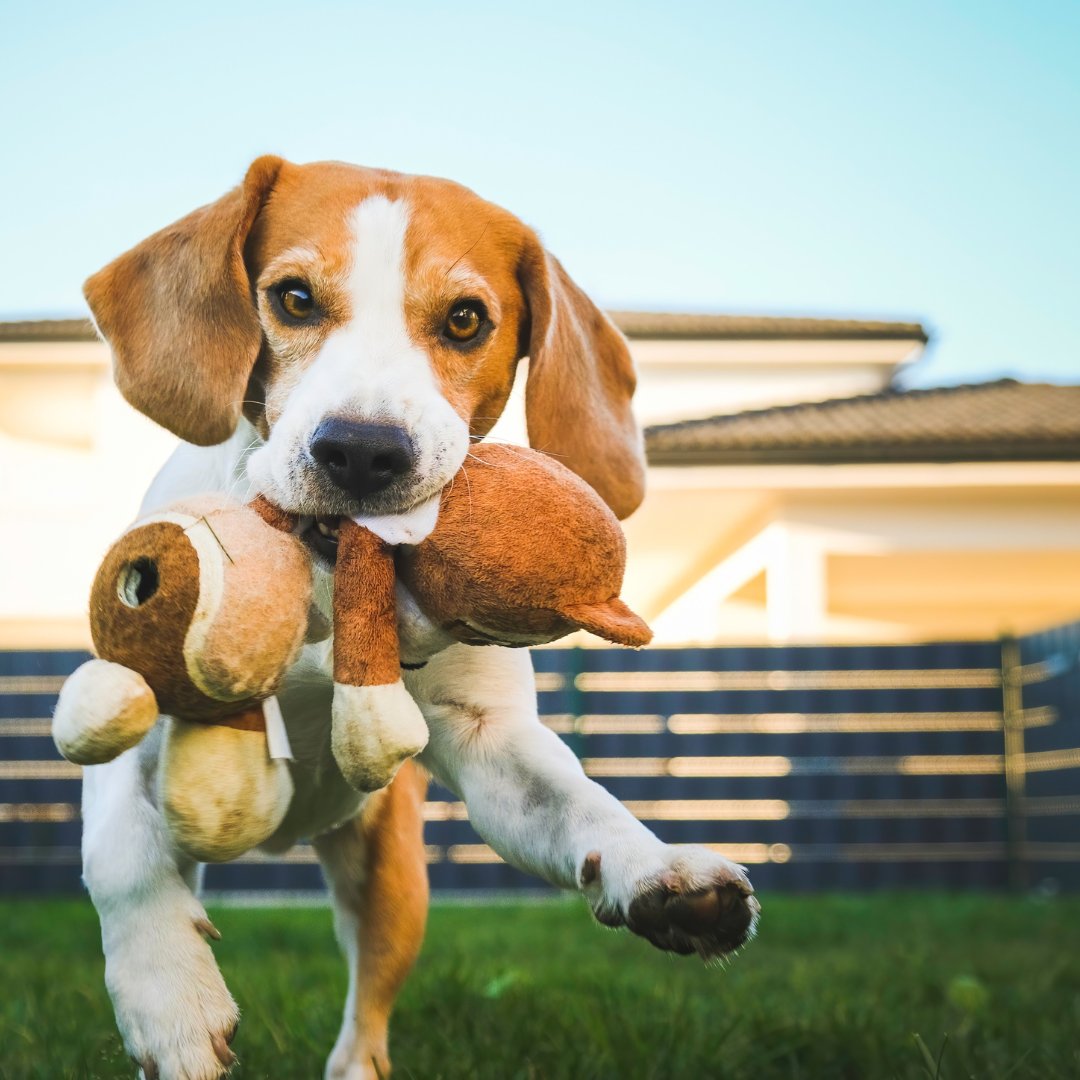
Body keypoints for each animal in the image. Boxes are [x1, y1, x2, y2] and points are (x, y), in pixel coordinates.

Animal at [78, 154, 760, 1080]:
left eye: (466, 320)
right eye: (293, 298)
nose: (363, 449)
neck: (327, 582)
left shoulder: (489, 742)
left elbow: (582, 804)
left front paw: (656, 872)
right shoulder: (133, 711)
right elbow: (118, 855)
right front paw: (168, 996)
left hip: (391, 879)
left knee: (366, 1011)